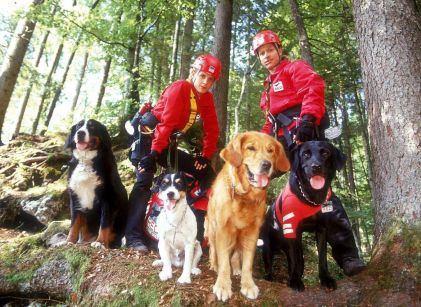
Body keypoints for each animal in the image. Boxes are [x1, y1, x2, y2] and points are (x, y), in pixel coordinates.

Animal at [64, 119, 128, 249]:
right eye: (78, 126)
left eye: (92, 127)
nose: (80, 133)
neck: (85, 161)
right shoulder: (75, 197)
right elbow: (74, 223)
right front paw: (69, 241)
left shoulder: (108, 198)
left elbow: (104, 223)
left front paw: (100, 242)